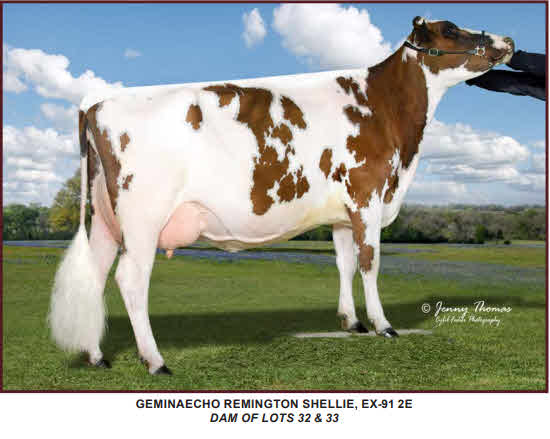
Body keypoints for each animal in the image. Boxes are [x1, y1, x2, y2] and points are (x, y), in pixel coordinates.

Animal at [49, 17, 514, 375]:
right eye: (450, 29)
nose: (508, 41)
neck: (386, 112)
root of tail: (97, 103)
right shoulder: (367, 196)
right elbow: (369, 263)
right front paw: (383, 325)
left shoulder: (342, 212)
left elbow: (345, 264)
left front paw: (351, 322)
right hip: (144, 216)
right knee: (130, 279)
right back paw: (155, 360)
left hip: (105, 219)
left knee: (96, 273)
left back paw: (96, 356)